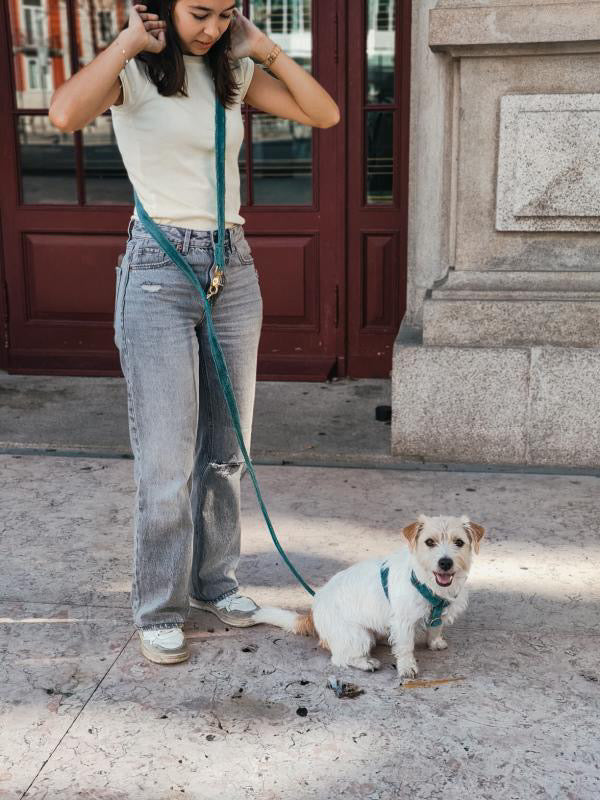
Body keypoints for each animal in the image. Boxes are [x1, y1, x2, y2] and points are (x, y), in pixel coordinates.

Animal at [252, 516, 482, 680]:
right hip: (358, 636)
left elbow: (436, 628)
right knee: (340, 658)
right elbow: (406, 647)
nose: (445, 562)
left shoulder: (437, 614)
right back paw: (366, 663)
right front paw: (407, 668)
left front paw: (435, 643)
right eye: (430, 542)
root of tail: (313, 610)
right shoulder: (403, 622)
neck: (426, 582)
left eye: (459, 542)